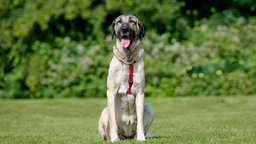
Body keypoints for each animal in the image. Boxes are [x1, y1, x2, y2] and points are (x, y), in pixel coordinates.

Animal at [98, 14, 154, 142]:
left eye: (132, 21)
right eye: (119, 22)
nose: (124, 29)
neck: (128, 60)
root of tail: (126, 135)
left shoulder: (140, 93)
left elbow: (140, 122)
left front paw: (141, 137)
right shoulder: (111, 92)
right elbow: (113, 122)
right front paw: (114, 138)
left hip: (150, 109)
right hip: (105, 111)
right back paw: (112, 137)